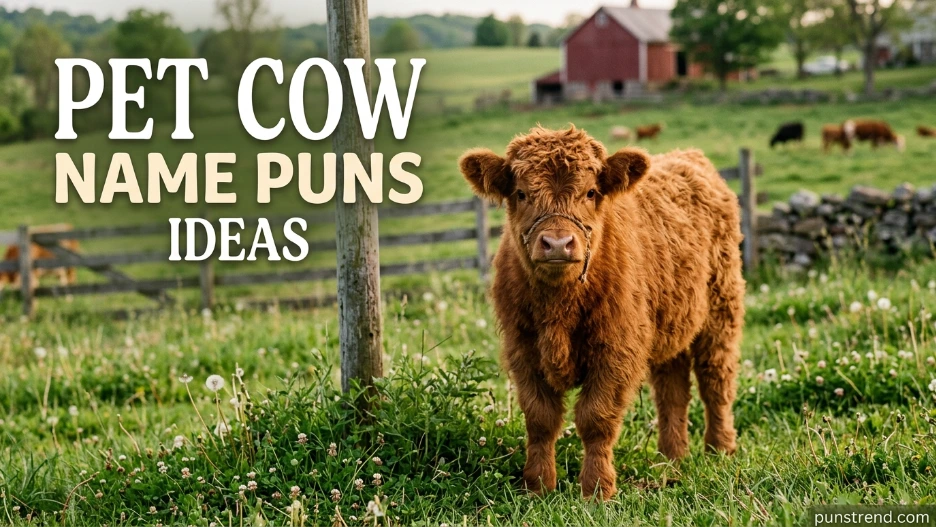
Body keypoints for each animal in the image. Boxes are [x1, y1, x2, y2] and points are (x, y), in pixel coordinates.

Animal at [459, 126, 744, 500]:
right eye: (521, 193)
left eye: (591, 192)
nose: (557, 243)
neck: (559, 309)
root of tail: (689, 156)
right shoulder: (523, 350)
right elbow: (540, 418)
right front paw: (538, 486)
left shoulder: (616, 351)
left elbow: (596, 419)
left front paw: (597, 489)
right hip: (672, 325)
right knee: (672, 392)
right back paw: (671, 457)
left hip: (721, 310)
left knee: (715, 380)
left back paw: (719, 449)